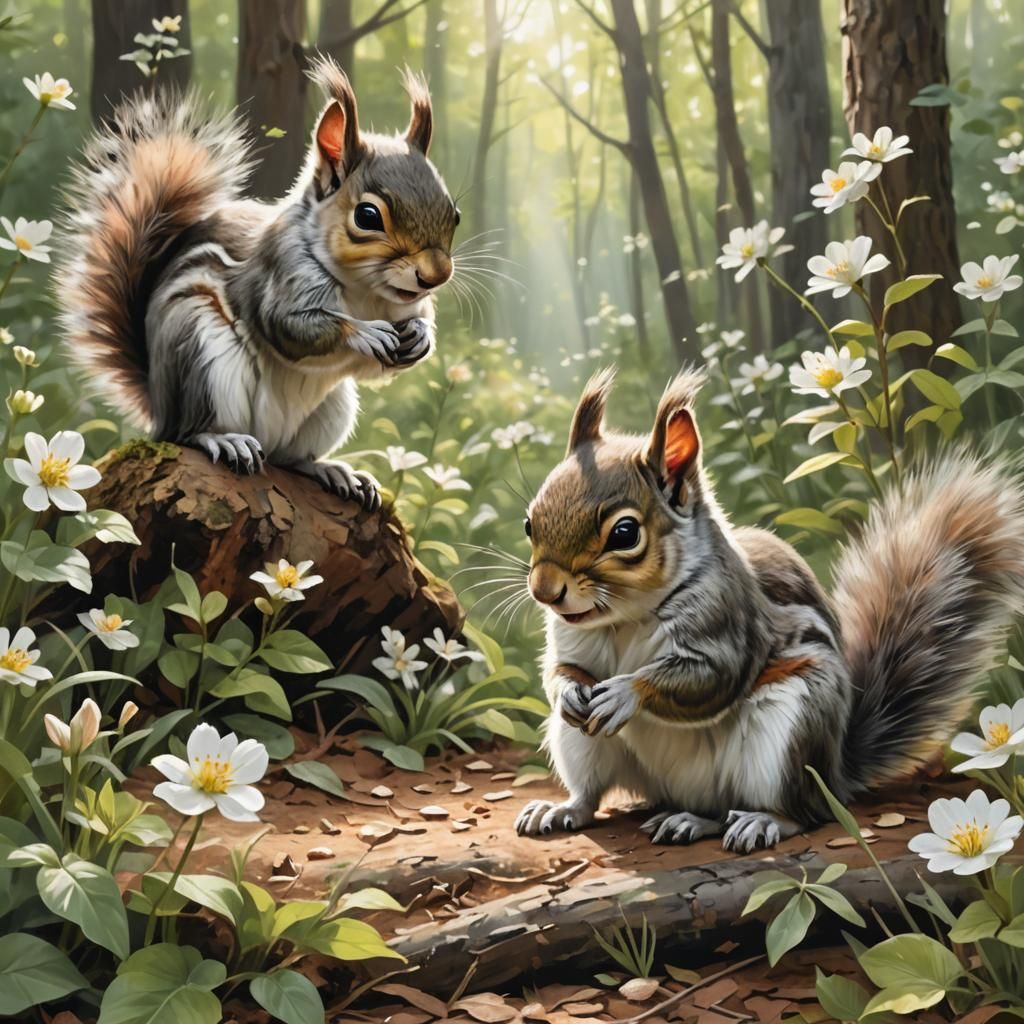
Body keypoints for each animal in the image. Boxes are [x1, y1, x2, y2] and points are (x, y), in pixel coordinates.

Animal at [58, 56, 459, 509]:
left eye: (455, 215)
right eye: (368, 216)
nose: (436, 275)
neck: (365, 291)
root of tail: (160, 408)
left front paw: (421, 336)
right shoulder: (277, 276)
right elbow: (288, 327)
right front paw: (365, 333)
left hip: (330, 409)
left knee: (287, 458)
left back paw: (331, 470)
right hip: (198, 356)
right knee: (189, 433)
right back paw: (223, 440)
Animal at [515, 368, 1024, 853]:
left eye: (624, 534)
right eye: (529, 522)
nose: (545, 592)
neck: (624, 618)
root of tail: (836, 773)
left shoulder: (728, 622)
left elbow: (711, 677)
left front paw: (624, 691)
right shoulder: (571, 643)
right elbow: (560, 670)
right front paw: (569, 691)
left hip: (789, 734)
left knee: (791, 811)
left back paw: (748, 821)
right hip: (580, 745)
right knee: (594, 793)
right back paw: (564, 809)